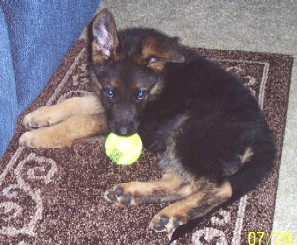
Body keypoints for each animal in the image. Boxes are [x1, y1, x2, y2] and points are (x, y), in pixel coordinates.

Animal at [18, 8, 274, 234]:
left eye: (140, 94)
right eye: (110, 92)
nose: (123, 132)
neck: (160, 80)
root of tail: (262, 138)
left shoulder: (126, 120)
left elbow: (78, 122)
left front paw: (37, 136)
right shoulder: (105, 105)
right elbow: (74, 102)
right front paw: (40, 115)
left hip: (188, 132)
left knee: (220, 187)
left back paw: (172, 212)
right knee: (183, 183)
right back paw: (134, 194)